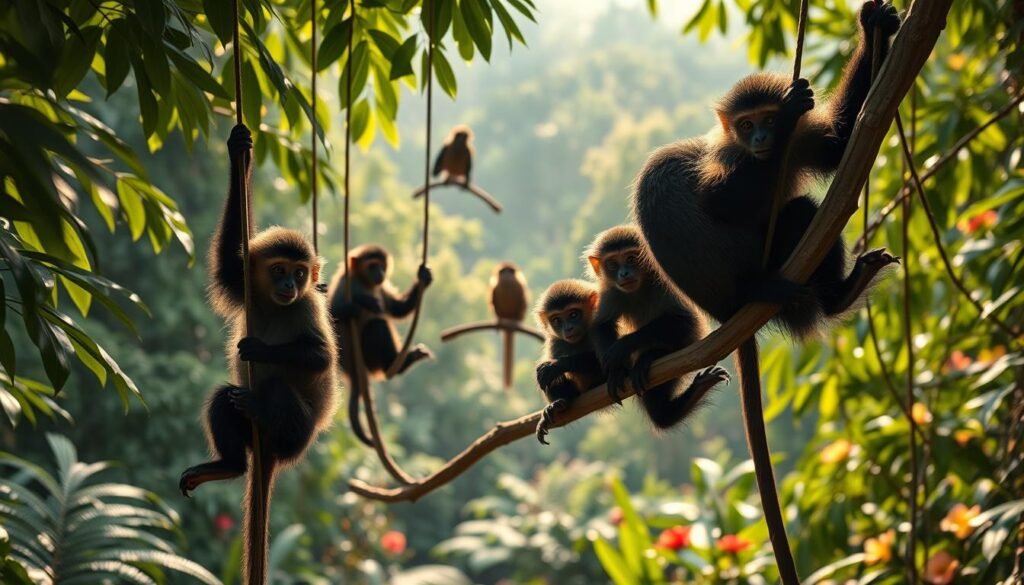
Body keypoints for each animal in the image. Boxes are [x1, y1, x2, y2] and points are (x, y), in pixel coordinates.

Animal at [179, 124, 338, 582]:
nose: (289, 285)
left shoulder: (307, 306)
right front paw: (238, 151)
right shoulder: (244, 284)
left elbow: (321, 358)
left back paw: (258, 406)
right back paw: (228, 465)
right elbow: (226, 264)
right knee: (223, 399)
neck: (277, 304)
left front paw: (260, 348)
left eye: (300, 274)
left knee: (280, 391)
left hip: (297, 435)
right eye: (280, 270)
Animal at [327, 245, 433, 446]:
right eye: (372, 265)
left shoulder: (380, 287)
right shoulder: (345, 283)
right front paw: (361, 302)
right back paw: (396, 364)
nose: (380, 273)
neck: (364, 283)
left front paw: (423, 278)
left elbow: (397, 309)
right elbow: (332, 316)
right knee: (377, 325)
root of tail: (352, 371)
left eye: (382, 266)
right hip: (368, 359)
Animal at [533, 279, 604, 444]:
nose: (568, 328)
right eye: (557, 320)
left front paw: (556, 366)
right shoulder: (555, 342)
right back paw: (560, 403)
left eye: (573, 314)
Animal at [586, 225, 731, 430]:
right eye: (613, 264)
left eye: (631, 259)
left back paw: (652, 356)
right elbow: (601, 324)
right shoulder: (612, 289)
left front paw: (622, 347)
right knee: (659, 414)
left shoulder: (664, 280)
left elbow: (686, 322)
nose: (624, 273)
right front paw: (617, 370)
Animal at [629, 4, 902, 582]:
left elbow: (845, 140)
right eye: (748, 124)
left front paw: (875, 25)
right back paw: (838, 295)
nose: (760, 142)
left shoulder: (803, 140)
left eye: (765, 121)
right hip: (764, 260)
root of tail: (732, 307)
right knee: (799, 212)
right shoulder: (731, 160)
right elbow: (721, 201)